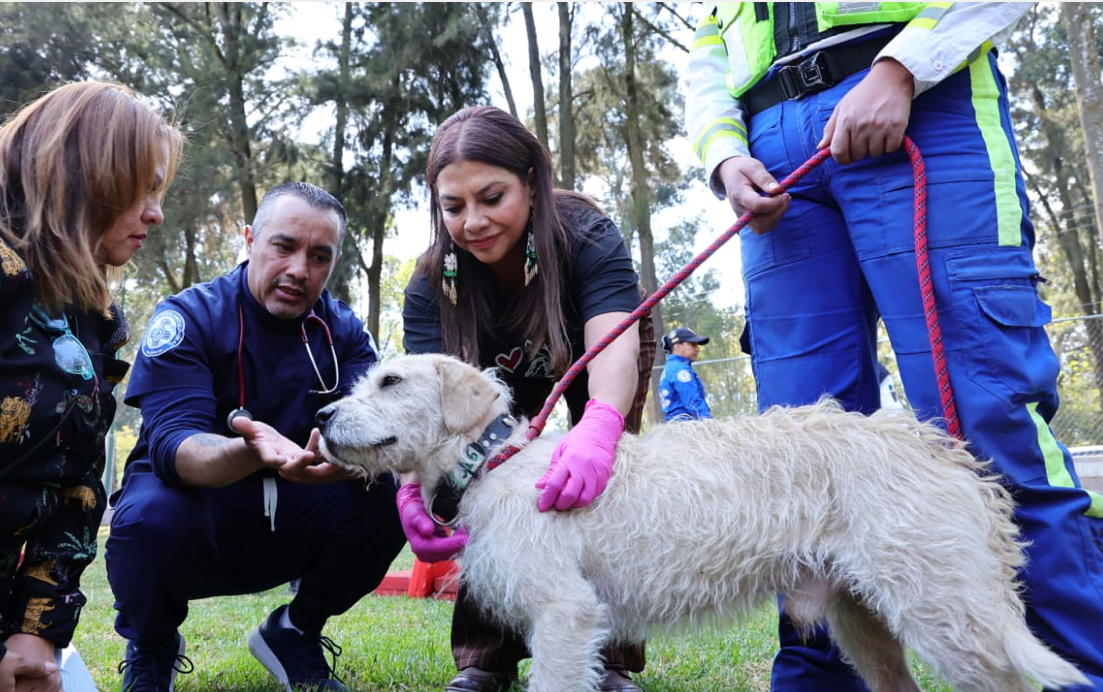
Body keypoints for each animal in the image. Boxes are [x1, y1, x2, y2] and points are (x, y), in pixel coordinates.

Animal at [316, 354, 1089, 692]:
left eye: (391, 382)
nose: (320, 416)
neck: (494, 459)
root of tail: (939, 450)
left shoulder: (566, 618)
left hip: (946, 614)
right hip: (866, 621)